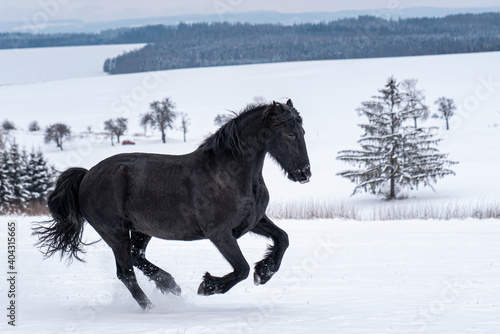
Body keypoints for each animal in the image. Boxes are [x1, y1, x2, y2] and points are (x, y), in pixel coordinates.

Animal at [34, 100, 308, 310]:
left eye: (302, 132)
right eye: (290, 134)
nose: (304, 173)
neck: (230, 174)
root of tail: (87, 175)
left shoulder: (254, 221)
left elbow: (282, 239)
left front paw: (264, 272)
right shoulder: (219, 233)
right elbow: (240, 269)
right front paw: (208, 286)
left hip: (140, 230)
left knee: (137, 257)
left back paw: (169, 285)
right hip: (115, 232)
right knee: (126, 273)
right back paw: (152, 307)